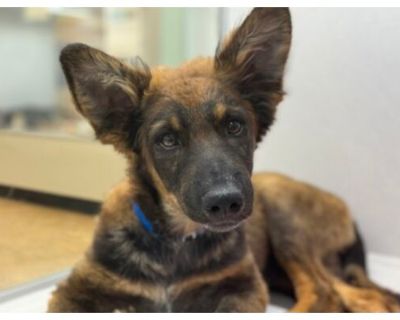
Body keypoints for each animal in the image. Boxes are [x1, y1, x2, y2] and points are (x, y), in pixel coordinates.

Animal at [47, 8, 400, 312]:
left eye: (234, 126)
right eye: (167, 141)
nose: (226, 202)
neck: (177, 241)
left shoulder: (243, 286)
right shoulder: (73, 291)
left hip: (286, 220)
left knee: (328, 292)